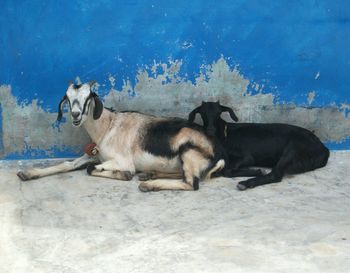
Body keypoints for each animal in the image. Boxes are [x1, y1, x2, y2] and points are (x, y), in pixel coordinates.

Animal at [16, 82, 224, 190]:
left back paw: (149, 184)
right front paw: (28, 173)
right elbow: (67, 164)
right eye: (67, 97)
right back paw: (150, 175)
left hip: (188, 151)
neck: (108, 126)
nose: (75, 115)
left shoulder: (123, 161)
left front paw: (124, 174)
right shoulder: (93, 154)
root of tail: (219, 154)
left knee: (191, 183)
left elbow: (92, 168)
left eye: (88, 96)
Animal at [189, 101, 328, 189]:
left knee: (275, 175)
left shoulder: (247, 157)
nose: (210, 131)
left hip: (293, 149)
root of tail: (324, 149)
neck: (225, 134)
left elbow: (227, 171)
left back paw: (246, 183)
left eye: (218, 113)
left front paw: (256, 171)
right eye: (203, 113)